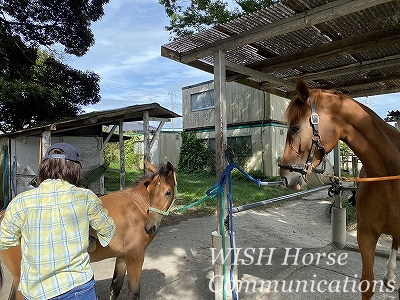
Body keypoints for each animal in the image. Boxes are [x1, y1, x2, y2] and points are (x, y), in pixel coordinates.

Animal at [0, 161, 175, 300]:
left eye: (167, 192)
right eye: (150, 190)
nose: (150, 227)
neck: (136, 207)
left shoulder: (123, 257)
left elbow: (115, 288)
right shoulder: (135, 256)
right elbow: (133, 292)